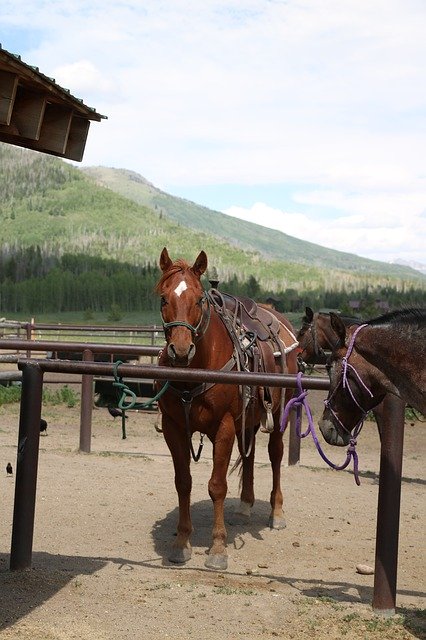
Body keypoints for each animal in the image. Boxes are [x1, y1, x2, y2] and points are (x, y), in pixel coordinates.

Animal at [155, 246, 298, 568]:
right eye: (163, 298)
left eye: (198, 299)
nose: (180, 351)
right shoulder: (173, 427)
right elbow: (183, 482)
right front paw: (181, 543)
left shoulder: (224, 426)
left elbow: (217, 486)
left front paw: (218, 548)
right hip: (249, 417)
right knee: (249, 453)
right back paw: (245, 505)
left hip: (279, 412)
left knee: (275, 454)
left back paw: (277, 513)